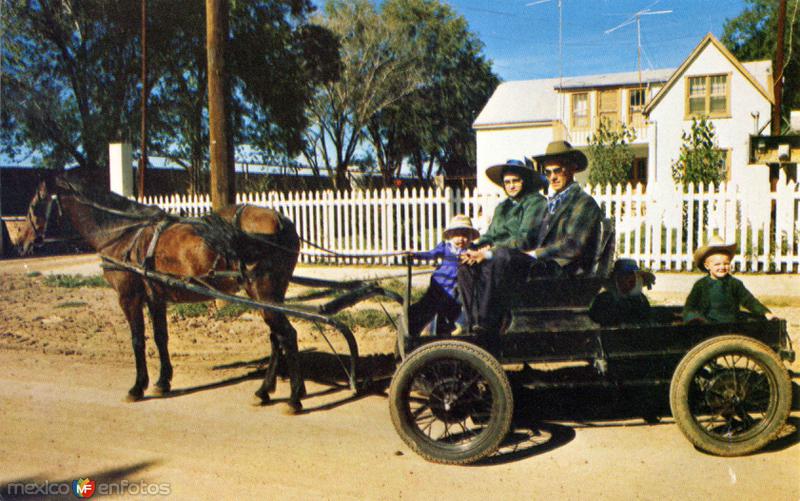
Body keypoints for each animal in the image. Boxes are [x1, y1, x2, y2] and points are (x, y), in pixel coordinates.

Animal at [23, 174, 306, 412]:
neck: (124, 233)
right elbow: (161, 338)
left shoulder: (129, 298)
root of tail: (281, 221)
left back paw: (293, 398)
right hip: (268, 295)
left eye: (34, 206)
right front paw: (162, 382)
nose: (22, 243)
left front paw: (138, 387)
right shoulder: (155, 298)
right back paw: (265, 391)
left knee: (287, 335)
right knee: (276, 337)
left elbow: (138, 340)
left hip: (263, 292)